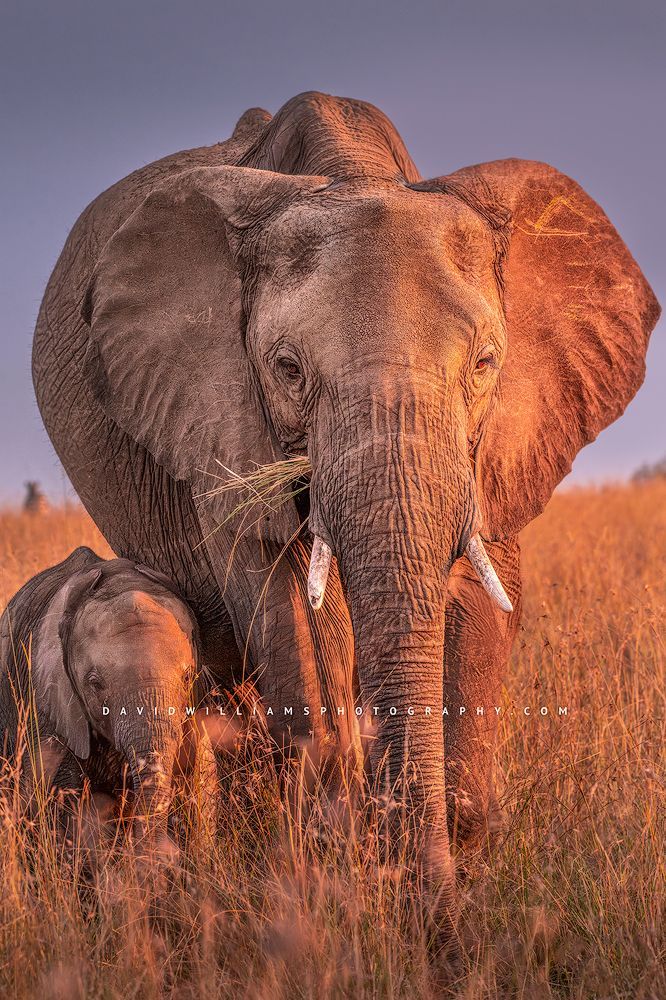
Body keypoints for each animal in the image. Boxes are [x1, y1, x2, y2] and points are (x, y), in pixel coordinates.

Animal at [31, 91, 659, 924]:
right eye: (287, 369)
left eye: (487, 363)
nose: (430, 911)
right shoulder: (220, 420)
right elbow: (288, 601)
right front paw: (352, 875)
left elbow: (480, 597)